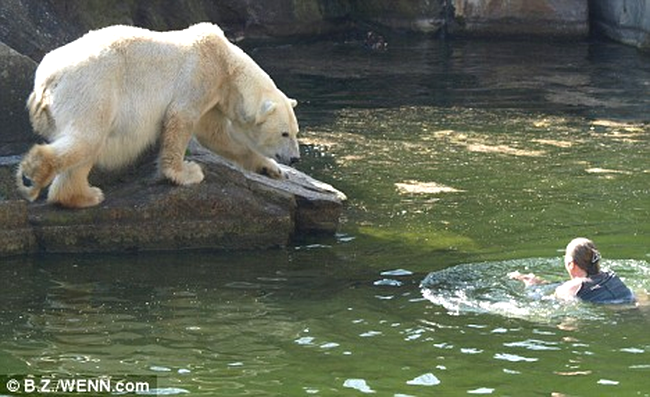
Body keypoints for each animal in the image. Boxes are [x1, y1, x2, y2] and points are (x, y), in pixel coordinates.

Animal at [15, 22, 298, 207]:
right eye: (284, 133)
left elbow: (217, 137)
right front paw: (186, 173)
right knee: (88, 138)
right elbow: (180, 120)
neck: (227, 63)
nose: (295, 159)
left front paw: (273, 170)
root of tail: (46, 81)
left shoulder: (214, 96)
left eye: (295, 132)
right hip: (91, 88)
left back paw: (83, 195)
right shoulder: (200, 77)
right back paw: (32, 175)